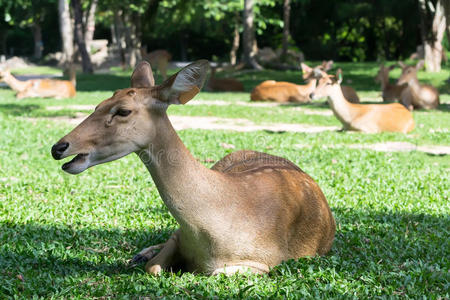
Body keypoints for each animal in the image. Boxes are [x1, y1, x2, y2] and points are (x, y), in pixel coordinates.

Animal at [51, 59, 334, 276]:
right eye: (97, 105)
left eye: (123, 111)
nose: (59, 147)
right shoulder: (180, 235)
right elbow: (155, 267)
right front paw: (147, 258)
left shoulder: (264, 262)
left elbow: (214, 272)